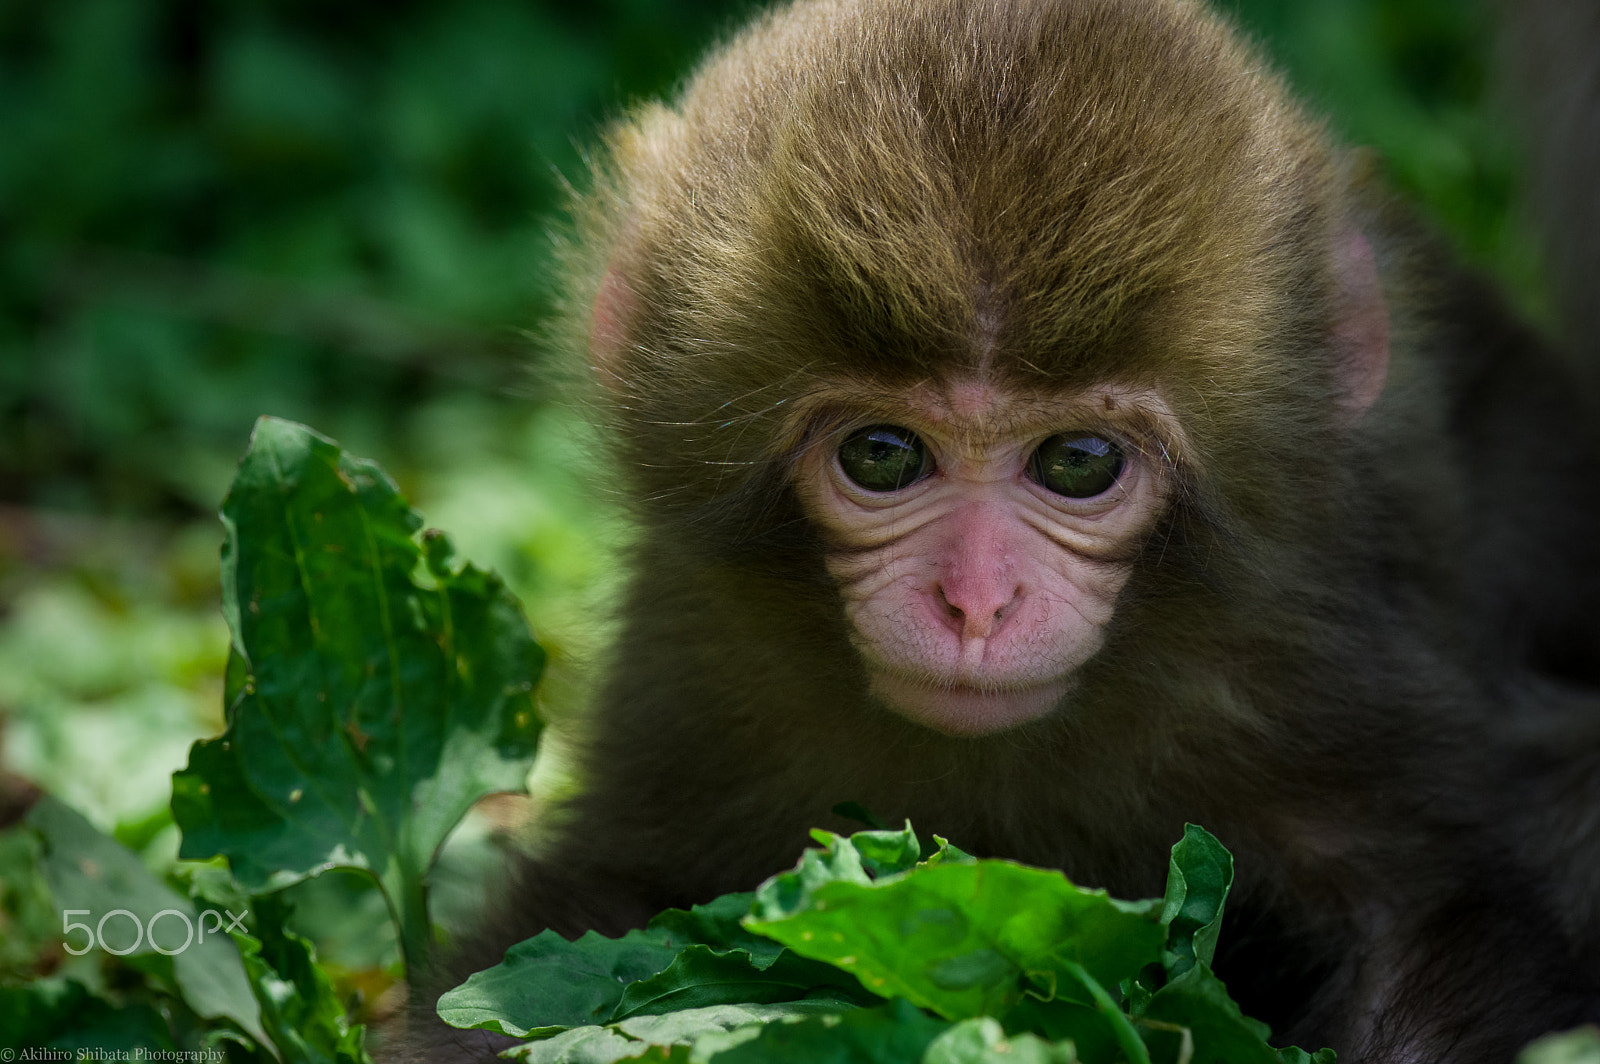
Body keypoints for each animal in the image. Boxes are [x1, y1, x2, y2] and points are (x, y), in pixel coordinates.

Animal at [400, 0, 1600, 1060]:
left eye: (1078, 462)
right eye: (883, 455)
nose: (975, 602)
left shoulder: (1324, 660)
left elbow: (1431, 912)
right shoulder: (697, 661)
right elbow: (577, 926)